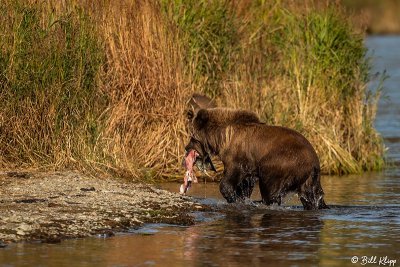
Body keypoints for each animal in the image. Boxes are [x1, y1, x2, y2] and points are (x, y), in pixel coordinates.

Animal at [185, 108, 328, 210]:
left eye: (192, 137)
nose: (186, 148)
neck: (221, 138)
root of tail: (314, 162)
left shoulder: (238, 157)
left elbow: (229, 179)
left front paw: (232, 197)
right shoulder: (249, 167)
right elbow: (244, 184)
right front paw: (241, 197)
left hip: (283, 163)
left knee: (270, 189)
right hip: (310, 179)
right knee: (312, 196)